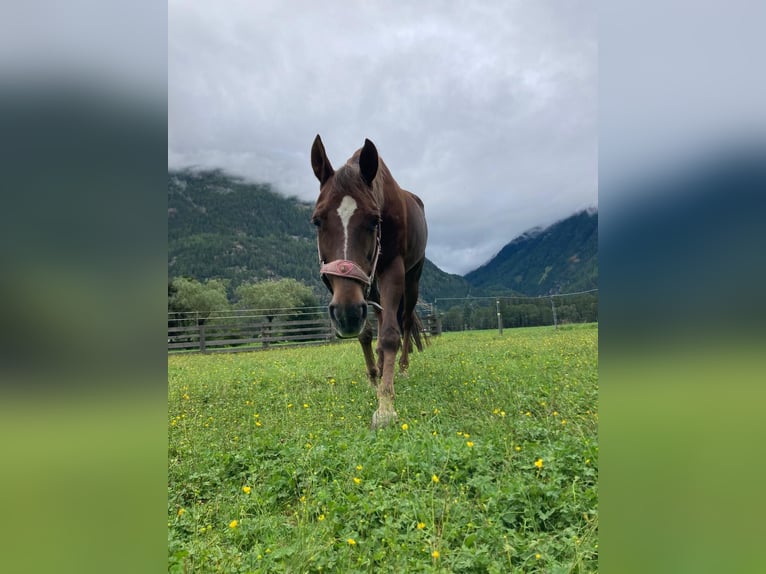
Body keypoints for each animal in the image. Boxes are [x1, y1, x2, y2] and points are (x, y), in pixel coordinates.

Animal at [314, 135, 432, 430]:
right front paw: (372, 377)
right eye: (317, 221)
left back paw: (402, 368)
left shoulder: (392, 268)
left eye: (373, 220)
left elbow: (390, 334)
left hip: (412, 278)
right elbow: (367, 332)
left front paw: (385, 404)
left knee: (404, 322)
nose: (346, 315)